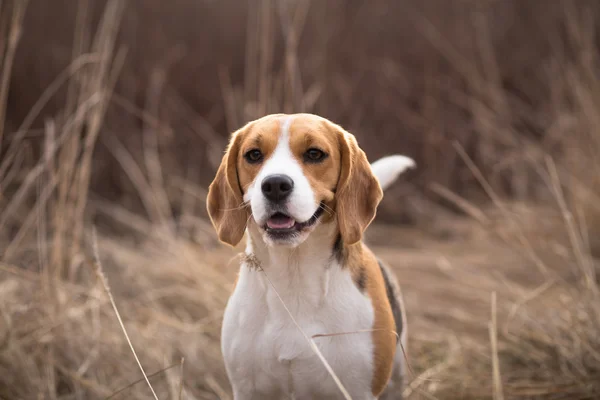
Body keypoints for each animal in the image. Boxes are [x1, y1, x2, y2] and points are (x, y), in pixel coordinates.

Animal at [206, 114, 412, 398]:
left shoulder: (357, 390)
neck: (293, 278)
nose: (275, 185)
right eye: (254, 154)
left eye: (315, 153)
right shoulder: (248, 390)